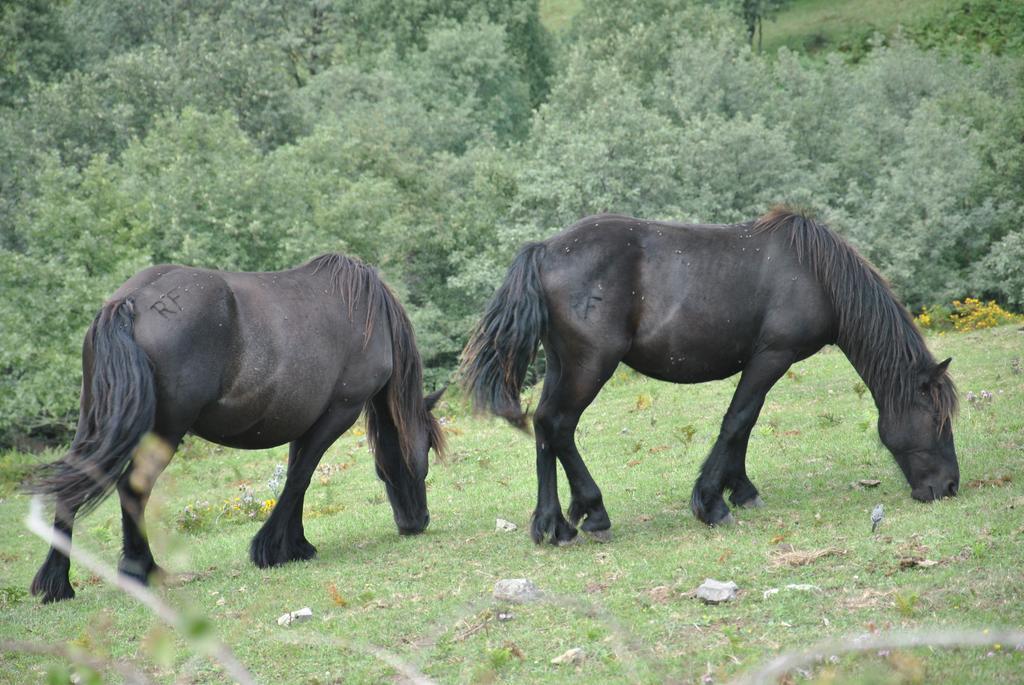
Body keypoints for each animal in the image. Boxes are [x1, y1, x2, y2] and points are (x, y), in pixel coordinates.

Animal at [28, 253, 442, 602]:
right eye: (424, 451)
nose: (416, 522)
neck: (368, 316)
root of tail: (131, 302)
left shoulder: (305, 422)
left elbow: (297, 478)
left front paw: (294, 545)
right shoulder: (339, 413)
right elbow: (300, 478)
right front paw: (270, 549)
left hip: (97, 421)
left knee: (73, 485)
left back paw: (58, 584)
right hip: (162, 433)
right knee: (133, 488)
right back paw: (141, 570)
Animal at [464, 205, 958, 540]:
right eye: (936, 419)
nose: (949, 486)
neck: (815, 275)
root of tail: (544, 251)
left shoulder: (764, 362)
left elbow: (744, 425)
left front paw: (739, 490)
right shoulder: (772, 356)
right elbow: (738, 420)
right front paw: (711, 503)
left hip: (564, 365)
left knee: (545, 427)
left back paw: (556, 524)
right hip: (590, 366)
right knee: (559, 426)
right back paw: (591, 514)